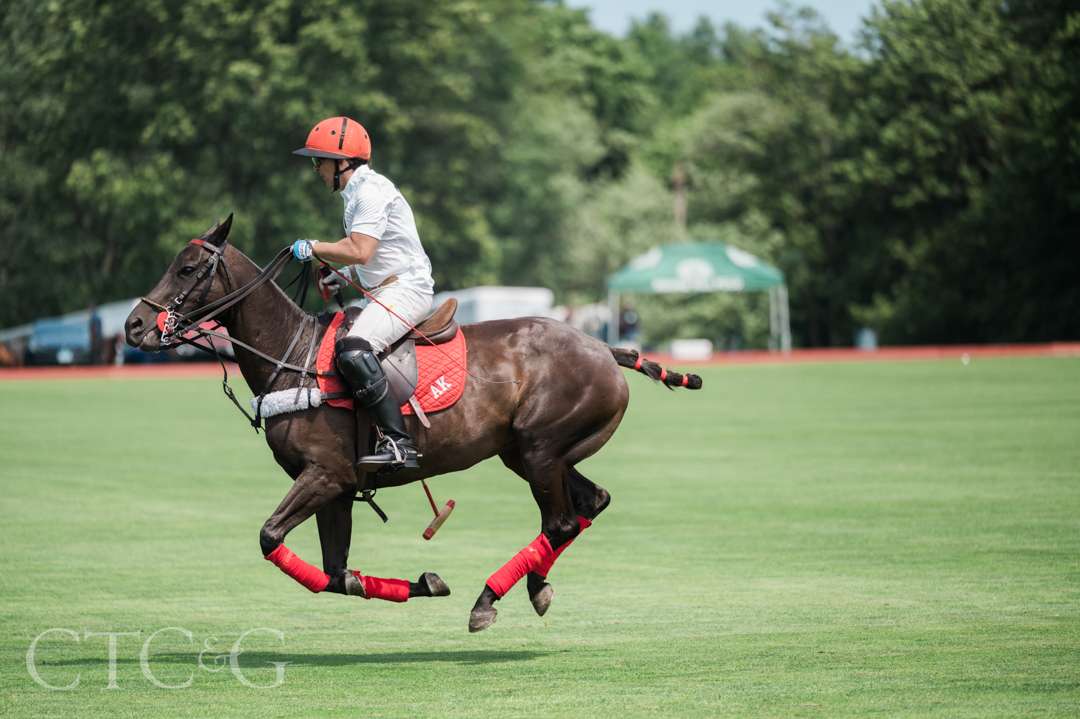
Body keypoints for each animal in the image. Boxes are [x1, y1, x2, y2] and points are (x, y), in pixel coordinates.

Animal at [124, 215, 702, 632]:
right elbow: (336, 575)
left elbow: (270, 537)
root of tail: (604, 348)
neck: (295, 356)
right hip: (531, 453)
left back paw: (488, 599)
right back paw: (534, 586)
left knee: (560, 520)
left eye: (188, 268)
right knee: (589, 503)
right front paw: (425, 582)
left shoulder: (325, 475)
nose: (133, 325)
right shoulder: (338, 490)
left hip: (541, 448)